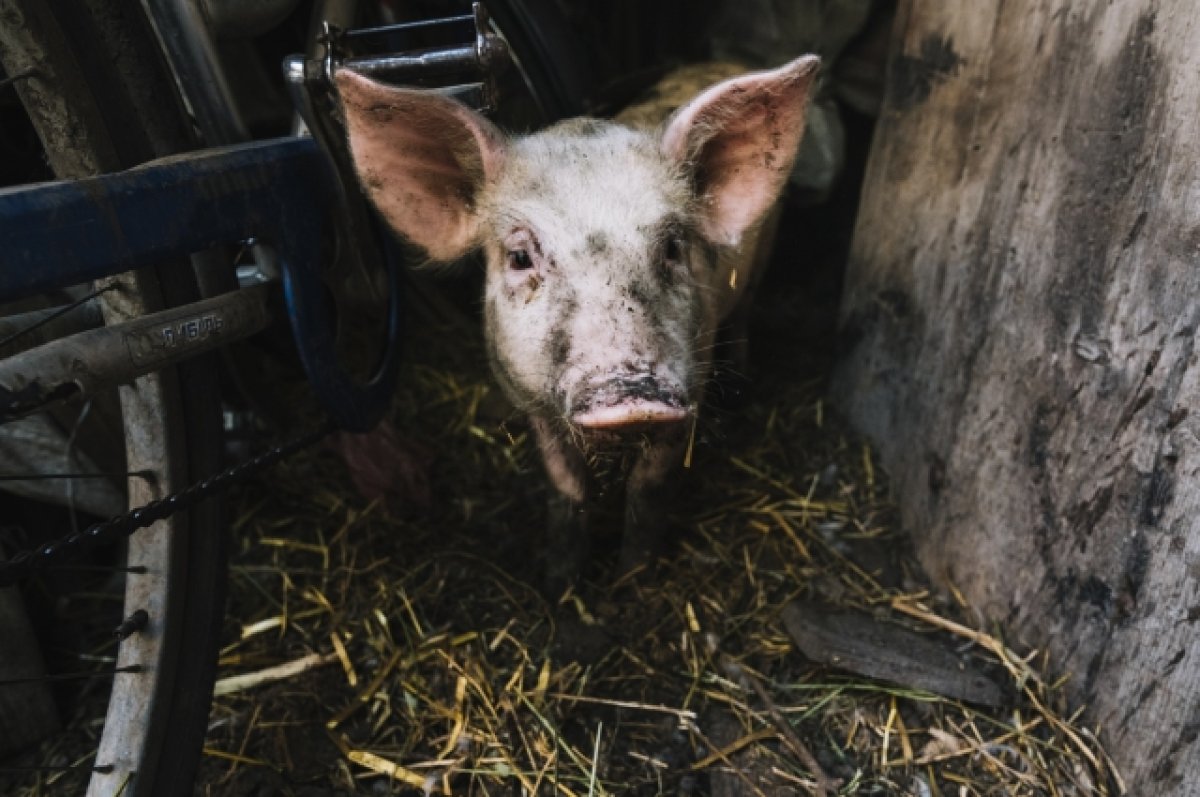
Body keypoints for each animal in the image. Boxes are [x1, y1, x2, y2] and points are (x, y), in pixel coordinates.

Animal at [343, 56, 820, 588]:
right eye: (519, 256)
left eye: (673, 247)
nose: (631, 390)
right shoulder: (531, 403)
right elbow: (566, 486)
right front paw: (560, 580)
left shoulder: (689, 391)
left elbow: (650, 487)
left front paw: (633, 579)